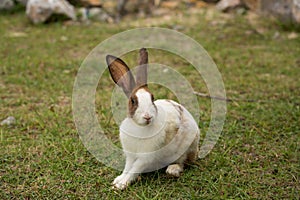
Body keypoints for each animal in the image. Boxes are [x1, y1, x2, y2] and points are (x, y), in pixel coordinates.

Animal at [105, 47, 199, 190]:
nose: (147, 117)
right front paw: (118, 180)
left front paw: (121, 184)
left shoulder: (145, 157)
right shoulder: (130, 155)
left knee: (183, 162)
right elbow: (128, 167)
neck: (139, 127)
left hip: (187, 148)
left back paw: (172, 170)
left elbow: (134, 169)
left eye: (152, 98)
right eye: (133, 101)